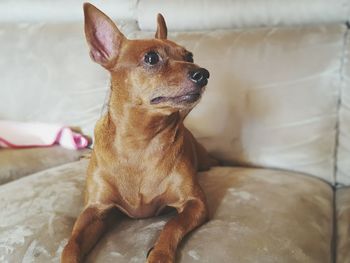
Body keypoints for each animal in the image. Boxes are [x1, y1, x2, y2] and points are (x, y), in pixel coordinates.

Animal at [61, 2, 217, 263]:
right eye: (151, 58)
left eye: (190, 57)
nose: (203, 73)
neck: (140, 143)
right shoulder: (95, 210)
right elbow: (71, 244)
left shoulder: (195, 203)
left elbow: (172, 225)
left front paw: (159, 254)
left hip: (205, 162)